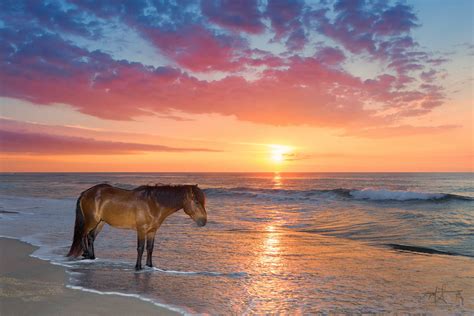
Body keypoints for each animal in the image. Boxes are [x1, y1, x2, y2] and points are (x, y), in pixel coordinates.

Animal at [66, 184, 206, 270]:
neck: (153, 203)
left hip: (100, 222)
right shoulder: (141, 230)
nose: (203, 221)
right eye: (196, 202)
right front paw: (138, 267)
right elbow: (140, 248)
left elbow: (150, 248)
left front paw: (149, 266)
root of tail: (86, 192)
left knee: (90, 237)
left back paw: (92, 256)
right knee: (83, 235)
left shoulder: (152, 231)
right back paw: (85, 254)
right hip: (91, 221)